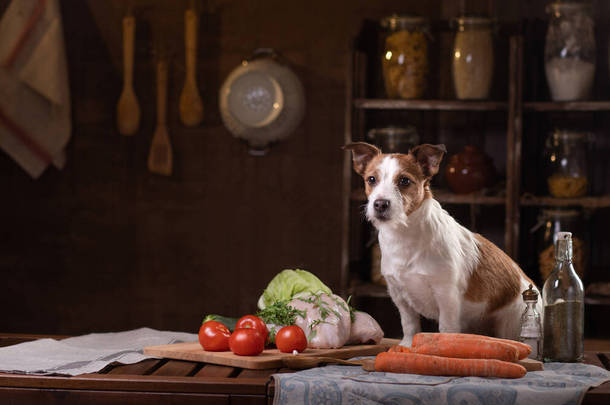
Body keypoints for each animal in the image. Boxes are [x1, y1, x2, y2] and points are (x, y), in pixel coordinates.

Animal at [344, 141, 540, 344]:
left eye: (404, 181)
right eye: (371, 179)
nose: (380, 204)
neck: (405, 234)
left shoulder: (447, 297)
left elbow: (446, 328)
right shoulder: (400, 296)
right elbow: (410, 324)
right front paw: (407, 345)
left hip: (511, 322)